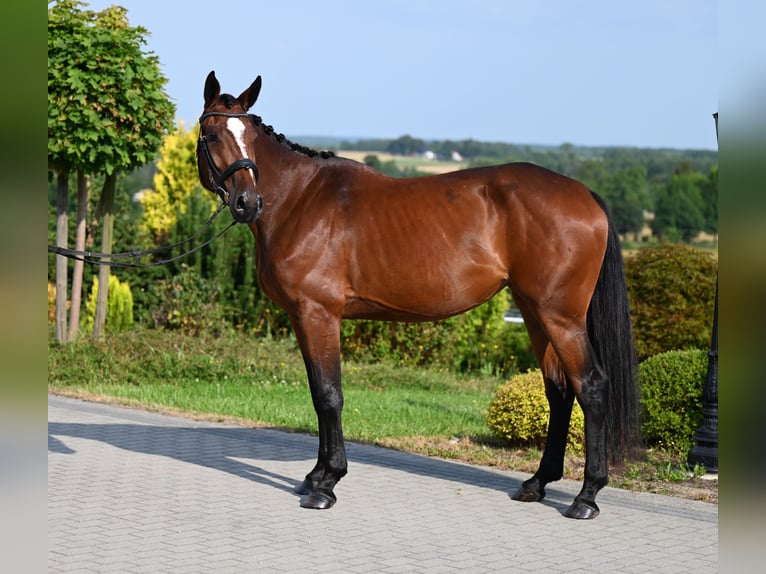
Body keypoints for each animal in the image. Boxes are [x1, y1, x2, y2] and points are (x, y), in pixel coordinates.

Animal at [198, 72, 640, 520]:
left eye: (250, 137)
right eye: (212, 133)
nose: (247, 202)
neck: (301, 200)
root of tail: (585, 195)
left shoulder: (318, 314)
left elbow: (329, 395)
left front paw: (327, 485)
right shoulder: (301, 318)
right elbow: (318, 393)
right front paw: (315, 476)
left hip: (562, 318)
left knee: (591, 387)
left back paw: (586, 496)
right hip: (536, 314)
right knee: (559, 392)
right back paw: (537, 483)